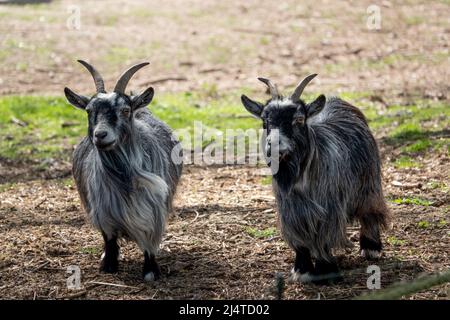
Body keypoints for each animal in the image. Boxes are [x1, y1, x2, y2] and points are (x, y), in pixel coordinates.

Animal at [63, 60, 183, 280]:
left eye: (125, 110)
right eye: (88, 111)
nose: (100, 135)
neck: (125, 179)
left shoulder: (154, 209)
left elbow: (149, 240)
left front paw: (150, 271)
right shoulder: (103, 208)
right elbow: (109, 238)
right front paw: (109, 263)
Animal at [241, 75, 388, 284]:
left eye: (299, 119)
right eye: (264, 121)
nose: (273, 146)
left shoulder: (329, 207)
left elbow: (324, 236)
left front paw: (326, 269)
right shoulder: (291, 211)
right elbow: (300, 239)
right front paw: (302, 269)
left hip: (369, 182)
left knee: (370, 211)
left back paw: (371, 247)